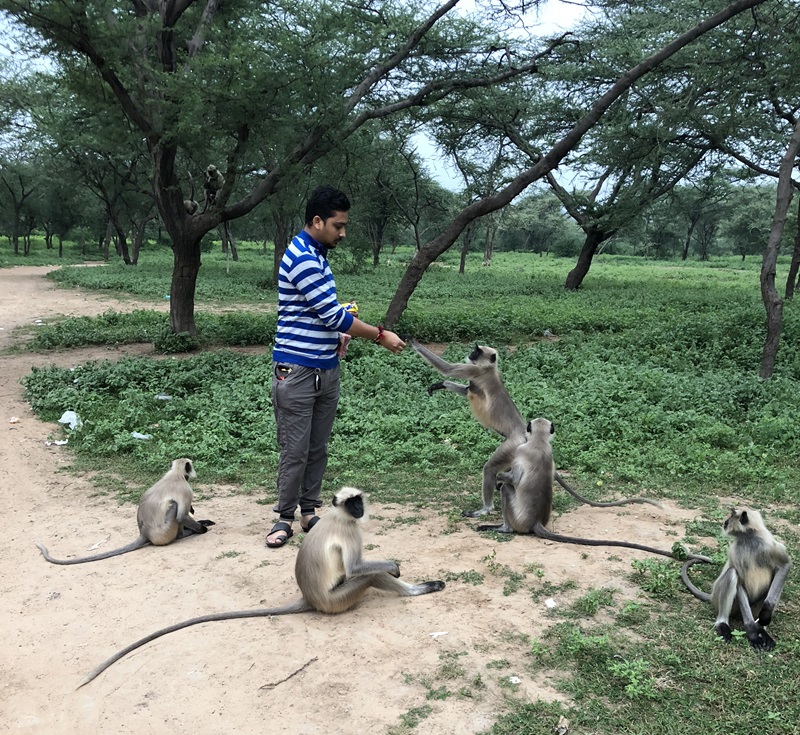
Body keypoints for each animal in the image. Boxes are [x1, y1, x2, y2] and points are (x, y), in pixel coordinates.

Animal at [36, 459, 214, 565]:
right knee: (174, 508)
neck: (175, 474)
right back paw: (184, 534)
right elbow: (182, 515)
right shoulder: (186, 489)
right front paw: (202, 528)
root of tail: (144, 533)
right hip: (166, 531)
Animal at [76, 486, 444, 687]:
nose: (360, 508)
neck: (340, 518)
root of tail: (309, 599)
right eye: (352, 504)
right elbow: (357, 567)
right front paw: (393, 566)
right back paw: (422, 588)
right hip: (339, 598)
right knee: (365, 577)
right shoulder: (351, 532)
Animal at [408, 339, 659, 515]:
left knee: (489, 469)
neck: (490, 369)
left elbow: (449, 369)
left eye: (477, 352)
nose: (470, 354)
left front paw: (412, 341)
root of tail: (525, 435)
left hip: (512, 446)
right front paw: (439, 385)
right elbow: (461, 387)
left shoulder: (476, 371)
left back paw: (486, 509)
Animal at [476, 418, 710, 562]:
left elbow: (513, 480)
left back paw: (502, 527)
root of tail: (536, 522)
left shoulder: (521, 451)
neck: (539, 443)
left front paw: (500, 479)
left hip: (517, 518)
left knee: (508, 490)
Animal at [680, 508, 791, 651]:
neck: (748, 538)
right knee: (732, 574)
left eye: (732, 515)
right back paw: (723, 624)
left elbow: (784, 566)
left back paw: (762, 628)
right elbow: (739, 580)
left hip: (755, 609)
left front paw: (766, 614)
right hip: (723, 601)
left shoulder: (769, 543)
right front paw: (752, 631)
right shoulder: (735, 549)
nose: (725, 522)